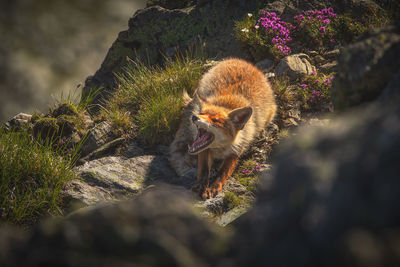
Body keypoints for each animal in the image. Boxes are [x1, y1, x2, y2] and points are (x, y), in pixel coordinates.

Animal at [168, 57, 276, 199]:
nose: (195, 117)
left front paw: (215, 186)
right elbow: (203, 171)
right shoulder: (204, 150)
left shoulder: (236, 151)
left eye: (215, 121)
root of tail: (241, 60)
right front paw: (202, 186)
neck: (220, 148)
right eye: (202, 113)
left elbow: (223, 173)